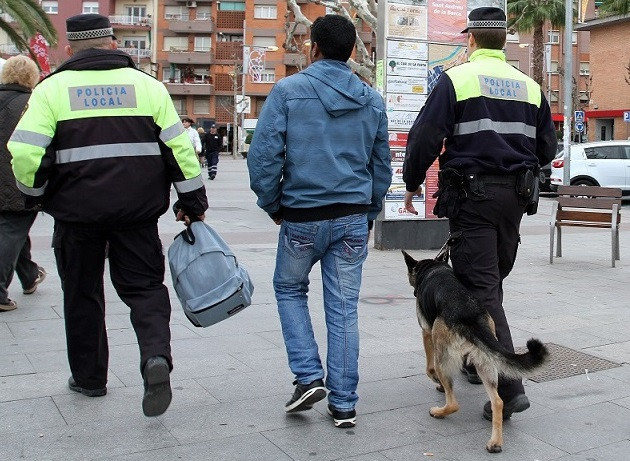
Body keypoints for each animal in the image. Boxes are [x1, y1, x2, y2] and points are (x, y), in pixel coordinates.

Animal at [404, 250, 548, 452]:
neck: (434, 268)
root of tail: (469, 314)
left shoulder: (426, 332)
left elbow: (429, 369)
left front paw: (437, 382)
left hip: (444, 356)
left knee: (454, 403)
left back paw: (439, 412)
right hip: (486, 364)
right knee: (498, 401)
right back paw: (495, 441)